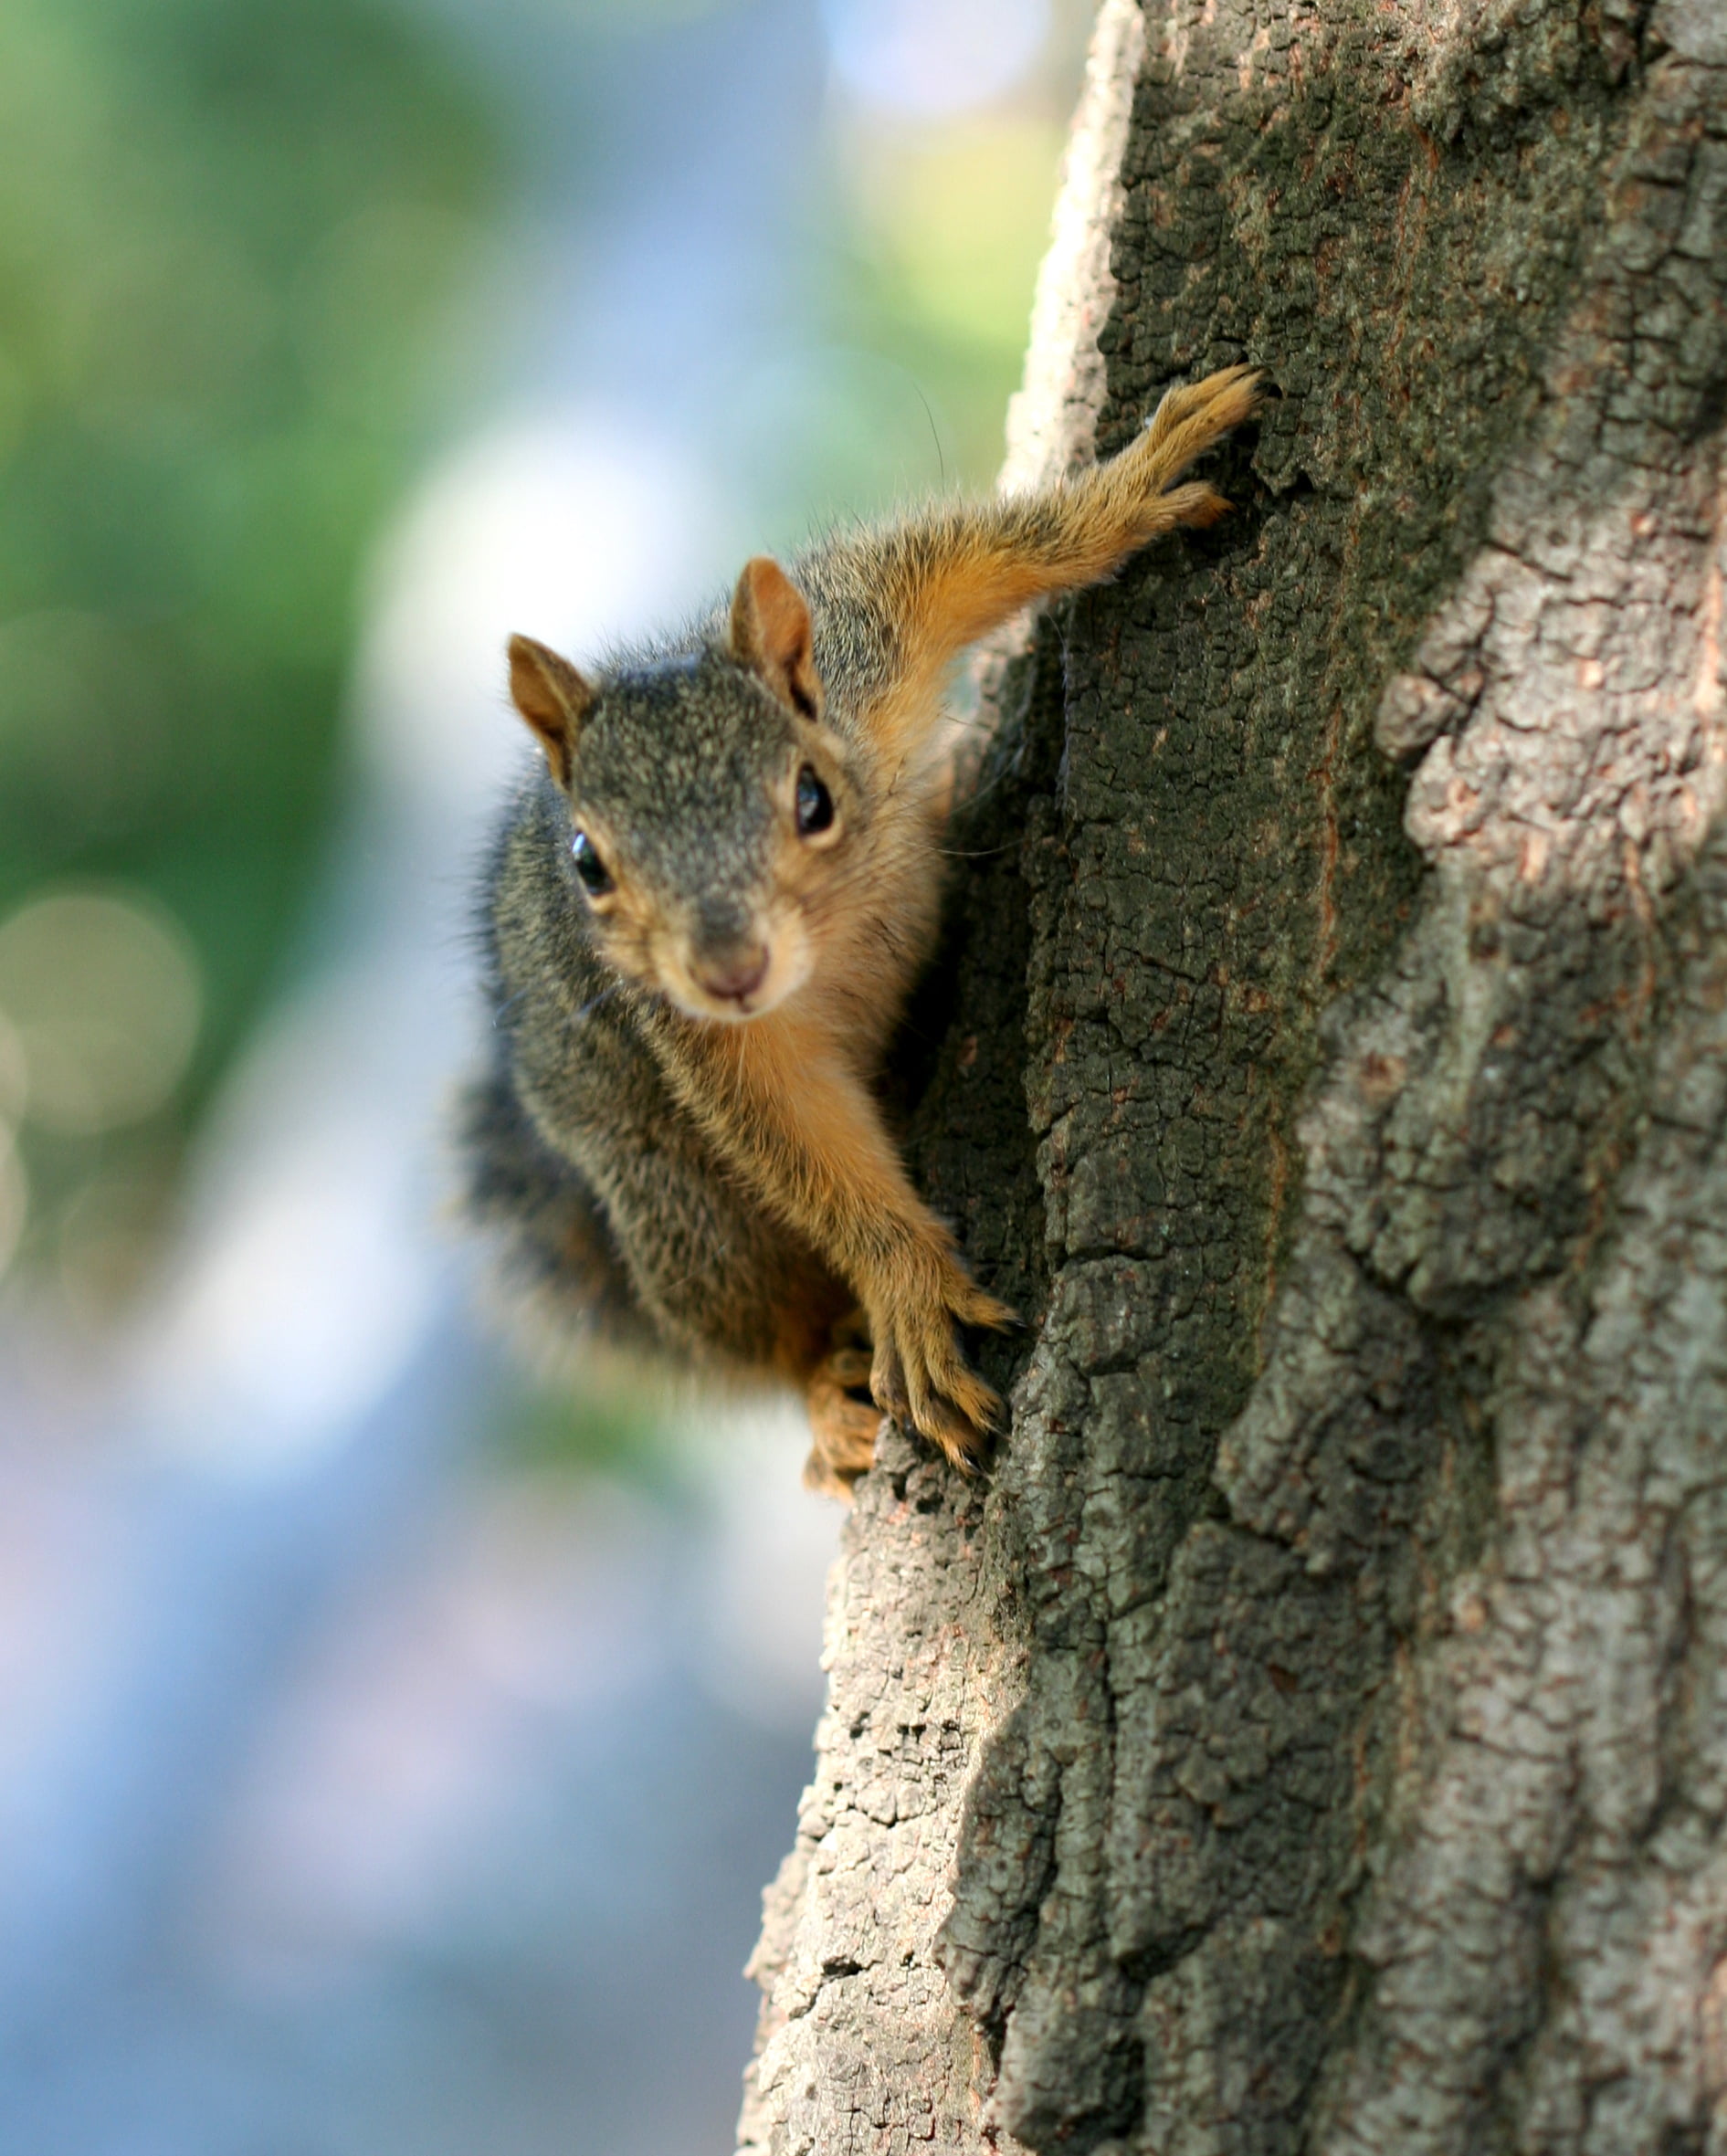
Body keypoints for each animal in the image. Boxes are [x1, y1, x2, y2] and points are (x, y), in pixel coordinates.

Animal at [459, 365, 1262, 1495]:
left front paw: (1127, 488)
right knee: (770, 1334)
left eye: (812, 798)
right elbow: (805, 1143)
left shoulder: (865, 646)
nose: (732, 969)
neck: (830, 937)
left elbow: (975, 560)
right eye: (587, 865)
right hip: (684, 1221)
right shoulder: (706, 1042)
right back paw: (825, 1399)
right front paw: (908, 1290)